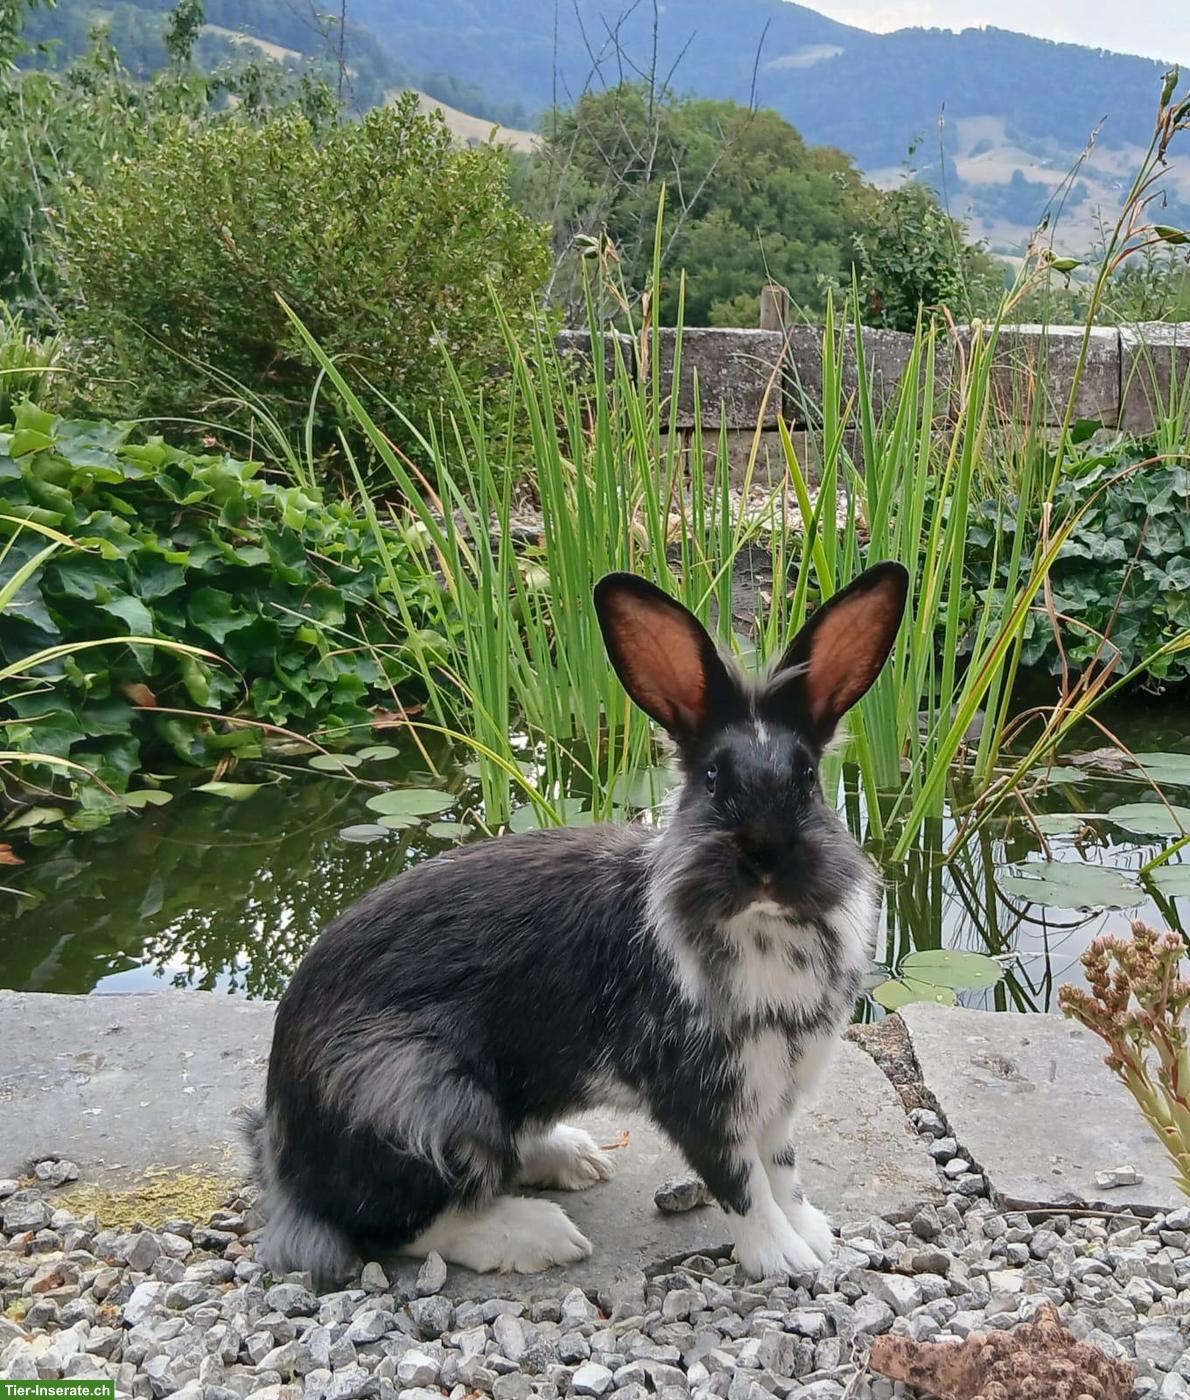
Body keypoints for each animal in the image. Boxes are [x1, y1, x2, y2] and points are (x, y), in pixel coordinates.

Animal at [246, 560, 908, 1286]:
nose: (764, 860)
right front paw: (782, 1259)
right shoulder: (703, 1097)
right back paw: (538, 1234)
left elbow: (783, 1171)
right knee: (394, 1226)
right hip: (417, 1099)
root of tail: (284, 1163)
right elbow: (742, 1184)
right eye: (712, 780)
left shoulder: (779, 1095)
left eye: (809, 779)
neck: (766, 928)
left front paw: (816, 1238)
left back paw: (573, 1158)